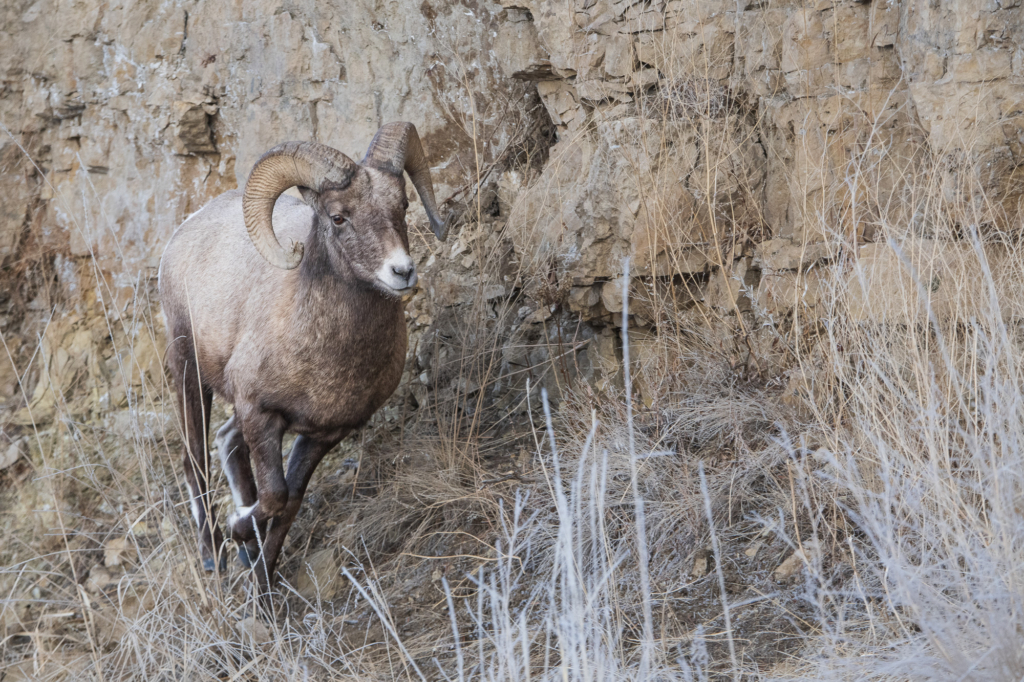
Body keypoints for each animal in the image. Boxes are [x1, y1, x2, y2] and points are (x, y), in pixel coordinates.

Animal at [157, 122, 446, 589]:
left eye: (402, 204)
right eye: (338, 217)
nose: (402, 271)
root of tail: (186, 229)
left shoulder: (322, 435)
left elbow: (289, 502)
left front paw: (262, 587)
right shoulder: (260, 414)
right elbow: (274, 495)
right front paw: (239, 528)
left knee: (227, 442)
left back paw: (244, 554)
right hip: (187, 369)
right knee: (195, 459)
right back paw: (214, 555)